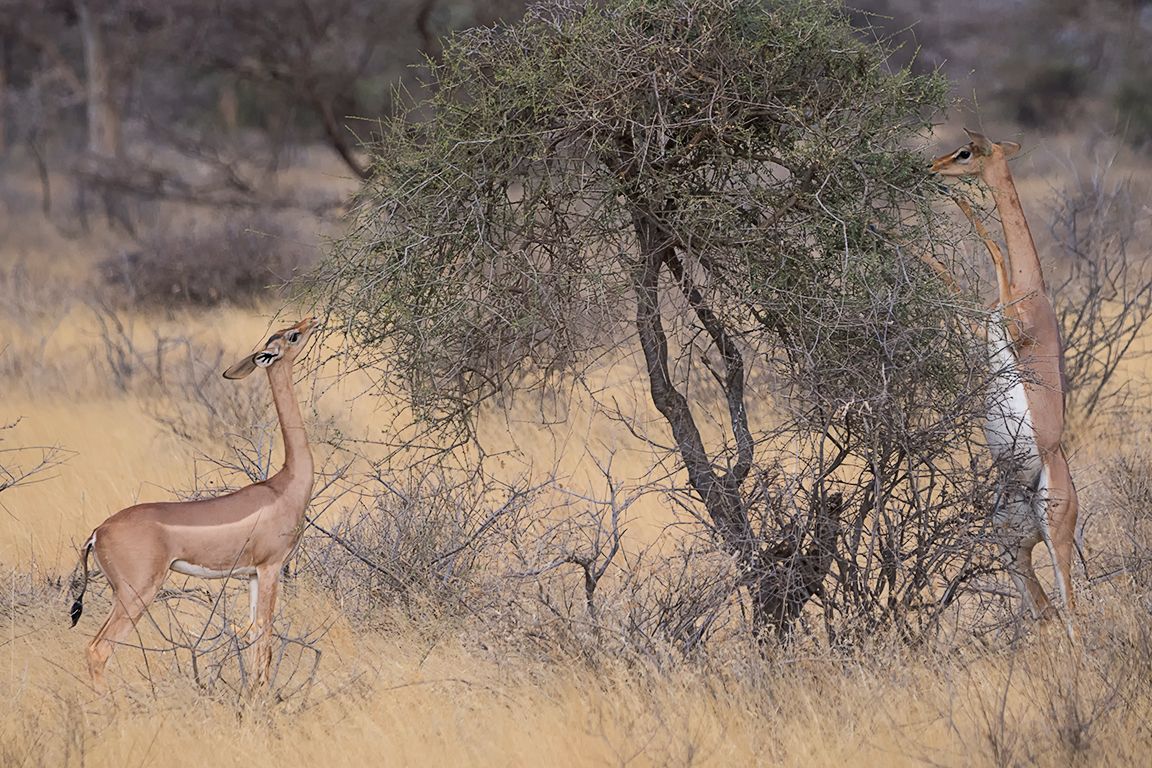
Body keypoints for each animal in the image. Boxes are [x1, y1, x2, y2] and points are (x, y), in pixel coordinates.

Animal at [67, 317, 320, 688]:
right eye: (293, 336)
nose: (312, 320)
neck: (285, 484)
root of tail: (97, 533)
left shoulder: (251, 575)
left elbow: (253, 634)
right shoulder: (271, 567)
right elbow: (266, 635)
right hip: (137, 593)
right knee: (98, 649)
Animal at [932, 130, 1078, 622]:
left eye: (965, 152)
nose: (933, 168)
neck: (1032, 291)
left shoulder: (1007, 327)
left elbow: (993, 250)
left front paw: (961, 202)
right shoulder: (982, 324)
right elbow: (953, 282)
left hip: (1055, 540)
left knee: (1071, 612)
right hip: (1011, 547)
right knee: (1044, 614)